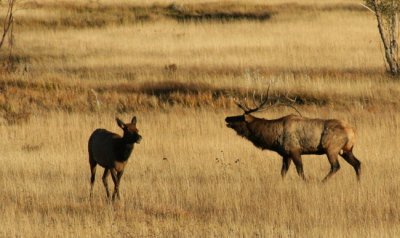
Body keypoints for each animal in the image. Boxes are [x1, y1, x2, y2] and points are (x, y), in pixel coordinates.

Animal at [225, 89, 362, 182]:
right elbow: (283, 172)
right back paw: (358, 182)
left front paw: (307, 182)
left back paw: (322, 182)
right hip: (346, 149)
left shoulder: (294, 150)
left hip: (332, 148)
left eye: (240, 117)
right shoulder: (286, 154)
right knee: (357, 163)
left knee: (336, 166)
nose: (227, 118)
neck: (273, 137)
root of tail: (352, 132)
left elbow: (300, 170)